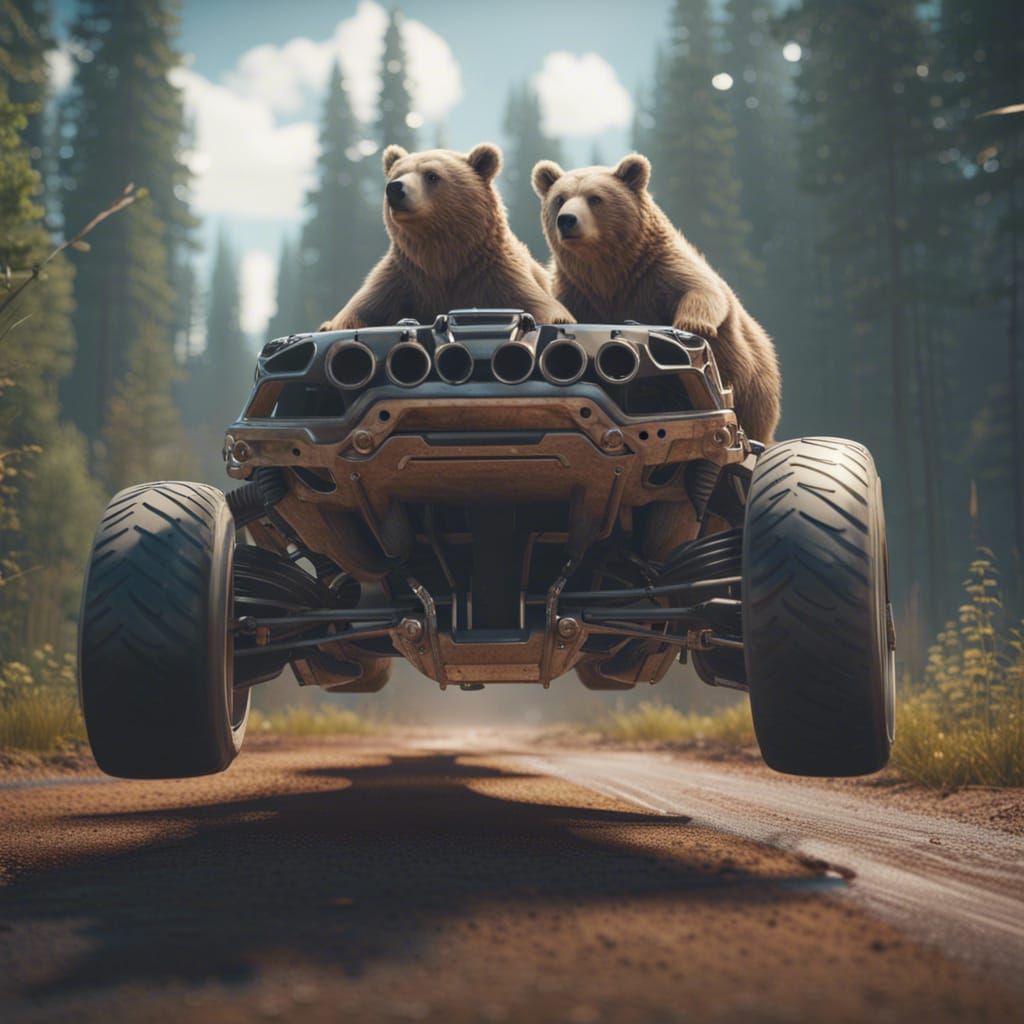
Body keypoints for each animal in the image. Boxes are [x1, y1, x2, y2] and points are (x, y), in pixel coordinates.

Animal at [320, 143, 572, 331]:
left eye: (431, 176)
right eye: (396, 174)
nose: (395, 188)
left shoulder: (495, 273)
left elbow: (541, 305)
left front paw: (557, 319)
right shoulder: (404, 276)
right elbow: (360, 309)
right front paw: (330, 325)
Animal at [531, 153, 781, 443]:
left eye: (595, 198)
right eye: (560, 199)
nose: (567, 220)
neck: (609, 275)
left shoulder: (657, 271)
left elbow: (701, 290)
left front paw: (691, 325)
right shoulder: (575, 291)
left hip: (752, 384)